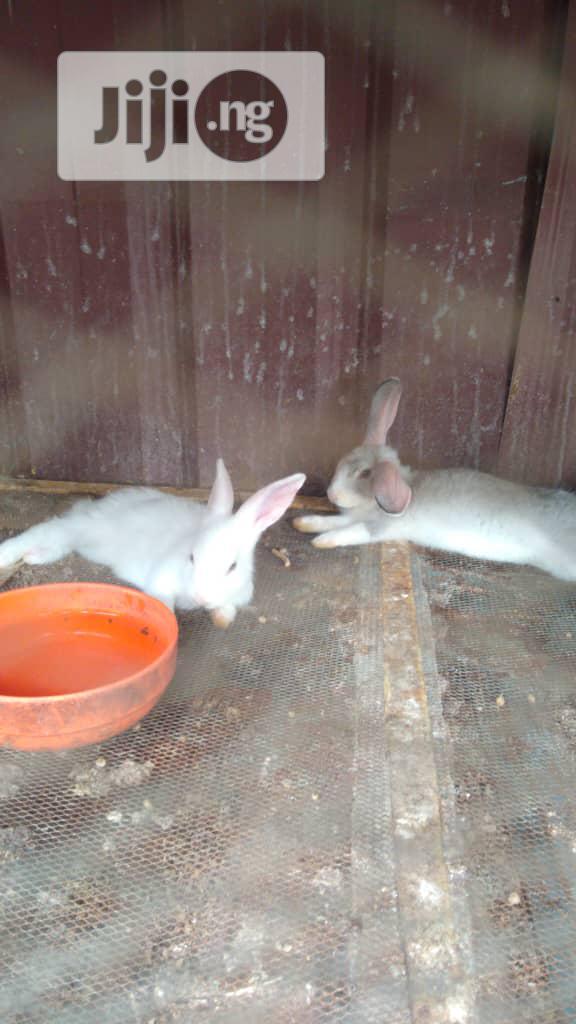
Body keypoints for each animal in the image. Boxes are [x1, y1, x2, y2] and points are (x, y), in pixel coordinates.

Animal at [0, 460, 306, 627]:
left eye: (232, 567)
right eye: (191, 558)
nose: (201, 597)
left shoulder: (239, 596)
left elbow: (228, 609)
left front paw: (220, 620)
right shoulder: (161, 579)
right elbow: (163, 603)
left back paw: (34, 557)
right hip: (79, 528)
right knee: (45, 530)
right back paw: (6, 555)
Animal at [293, 377, 576, 582]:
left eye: (364, 474)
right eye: (344, 460)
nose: (332, 494)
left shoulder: (378, 527)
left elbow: (350, 531)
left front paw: (321, 541)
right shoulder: (353, 516)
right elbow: (332, 521)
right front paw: (304, 523)